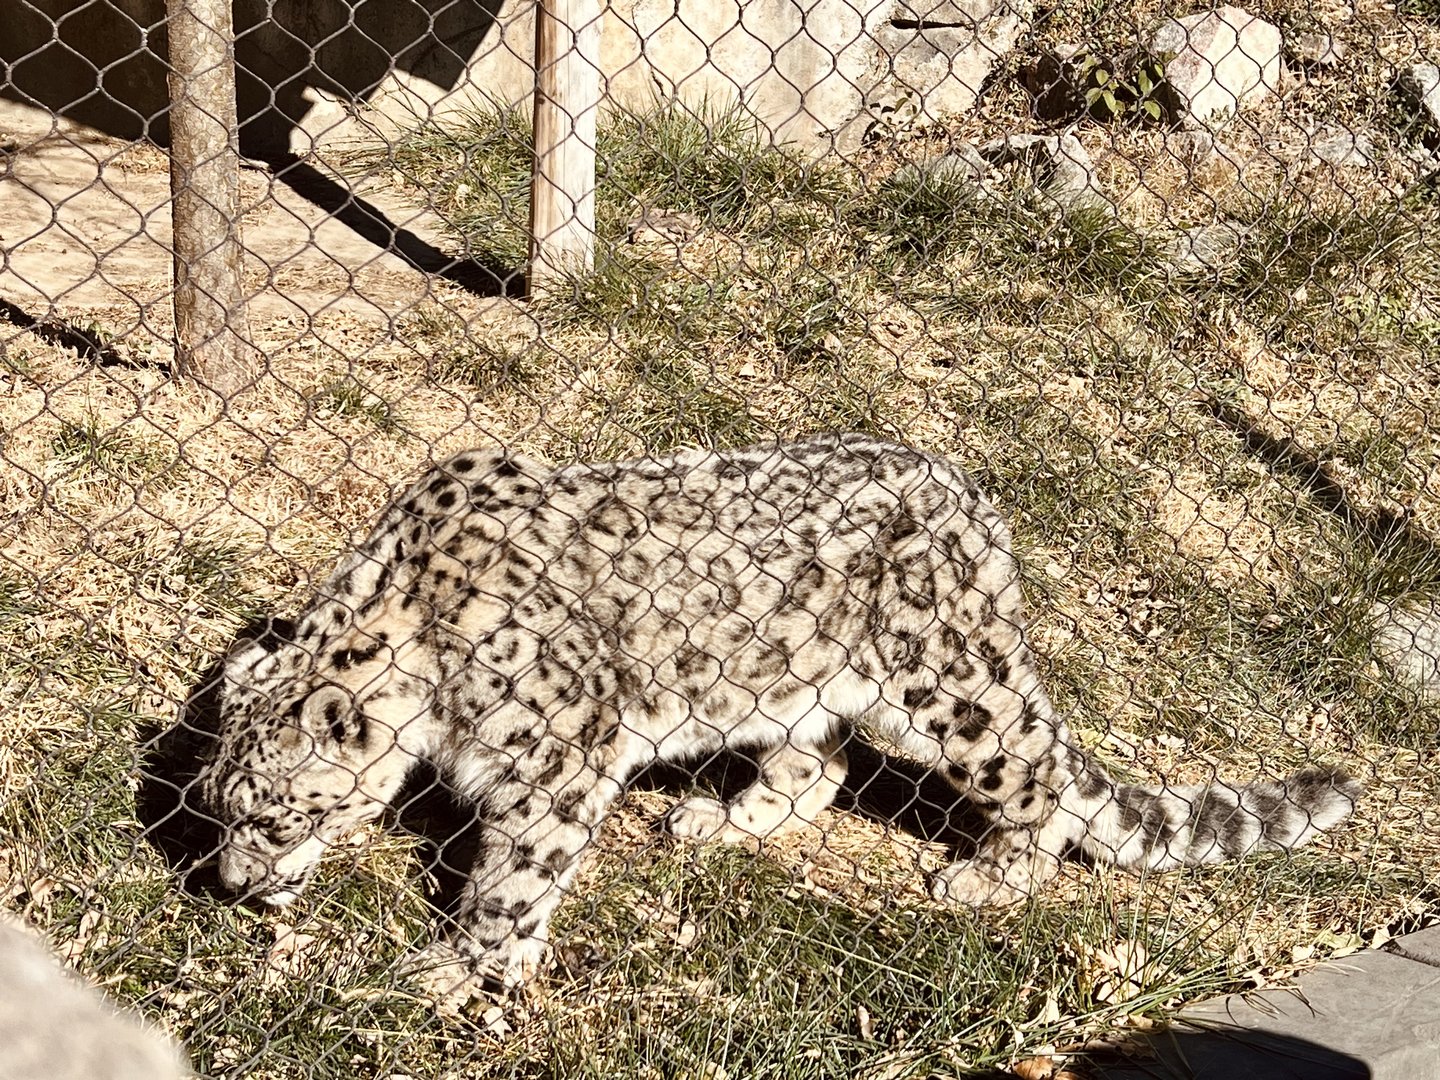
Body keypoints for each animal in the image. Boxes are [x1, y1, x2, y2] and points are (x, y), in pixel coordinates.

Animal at [197, 433, 1360, 991]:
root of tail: (978, 514)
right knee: (821, 768)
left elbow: (516, 876)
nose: (233, 886)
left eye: (276, 816)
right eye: (216, 808)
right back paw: (720, 819)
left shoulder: (559, 753)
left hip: (943, 688)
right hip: (793, 684)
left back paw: (989, 876)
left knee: (1033, 772)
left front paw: (453, 970)